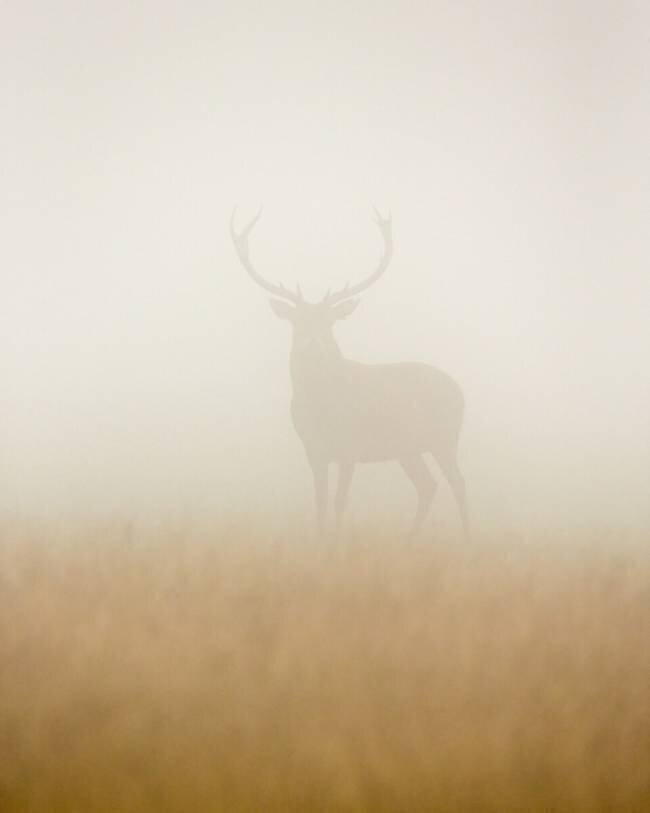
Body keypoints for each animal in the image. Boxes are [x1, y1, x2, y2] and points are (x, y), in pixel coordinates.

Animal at [230, 207, 469, 541]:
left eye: (329, 322)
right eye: (297, 321)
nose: (313, 343)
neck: (321, 407)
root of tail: (459, 389)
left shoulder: (350, 447)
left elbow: (340, 501)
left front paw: (335, 542)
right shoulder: (313, 448)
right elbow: (320, 500)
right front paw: (320, 539)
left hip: (445, 436)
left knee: (458, 483)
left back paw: (468, 538)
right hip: (407, 448)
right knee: (428, 485)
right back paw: (409, 540)